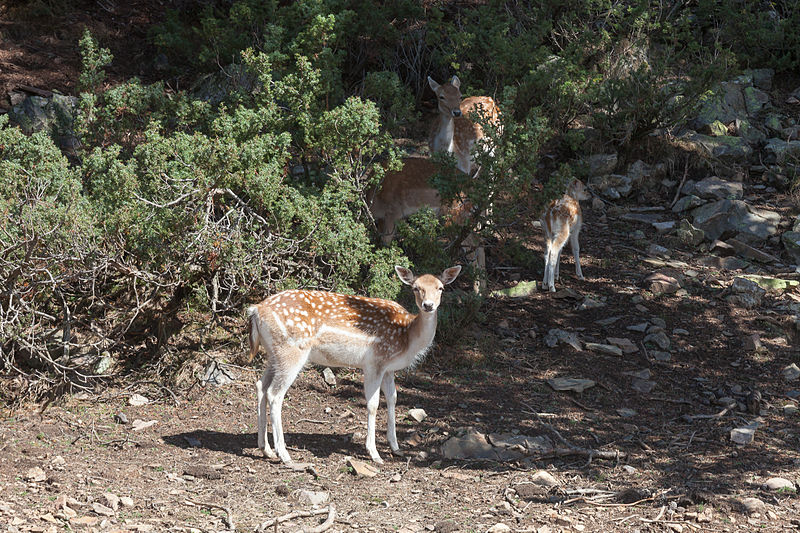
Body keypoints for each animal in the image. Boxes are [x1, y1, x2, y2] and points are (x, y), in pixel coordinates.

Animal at [250, 264, 462, 464]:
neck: (407, 337)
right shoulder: (374, 362)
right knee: (275, 394)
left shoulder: (388, 368)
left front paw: (395, 447)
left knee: (261, 386)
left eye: (441, 287)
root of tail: (256, 310)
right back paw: (284, 455)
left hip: (274, 354)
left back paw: (266, 449)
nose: (428, 305)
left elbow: (393, 398)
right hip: (292, 350)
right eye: (416, 288)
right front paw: (374, 453)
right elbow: (373, 404)